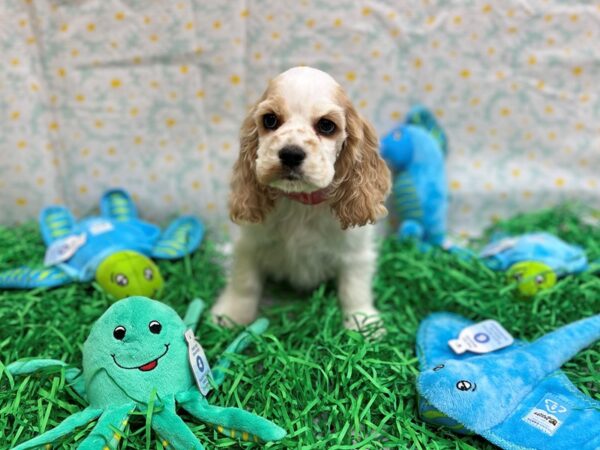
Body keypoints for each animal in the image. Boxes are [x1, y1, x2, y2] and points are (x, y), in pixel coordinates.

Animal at [212, 66, 394, 330]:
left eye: (326, 125)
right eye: (270, 120)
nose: (290, 154)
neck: (301, 202)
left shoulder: (355, 253)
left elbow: (354, 289)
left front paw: (363, 322)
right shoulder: (249, 244)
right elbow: (244, 282)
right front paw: (230, 314)